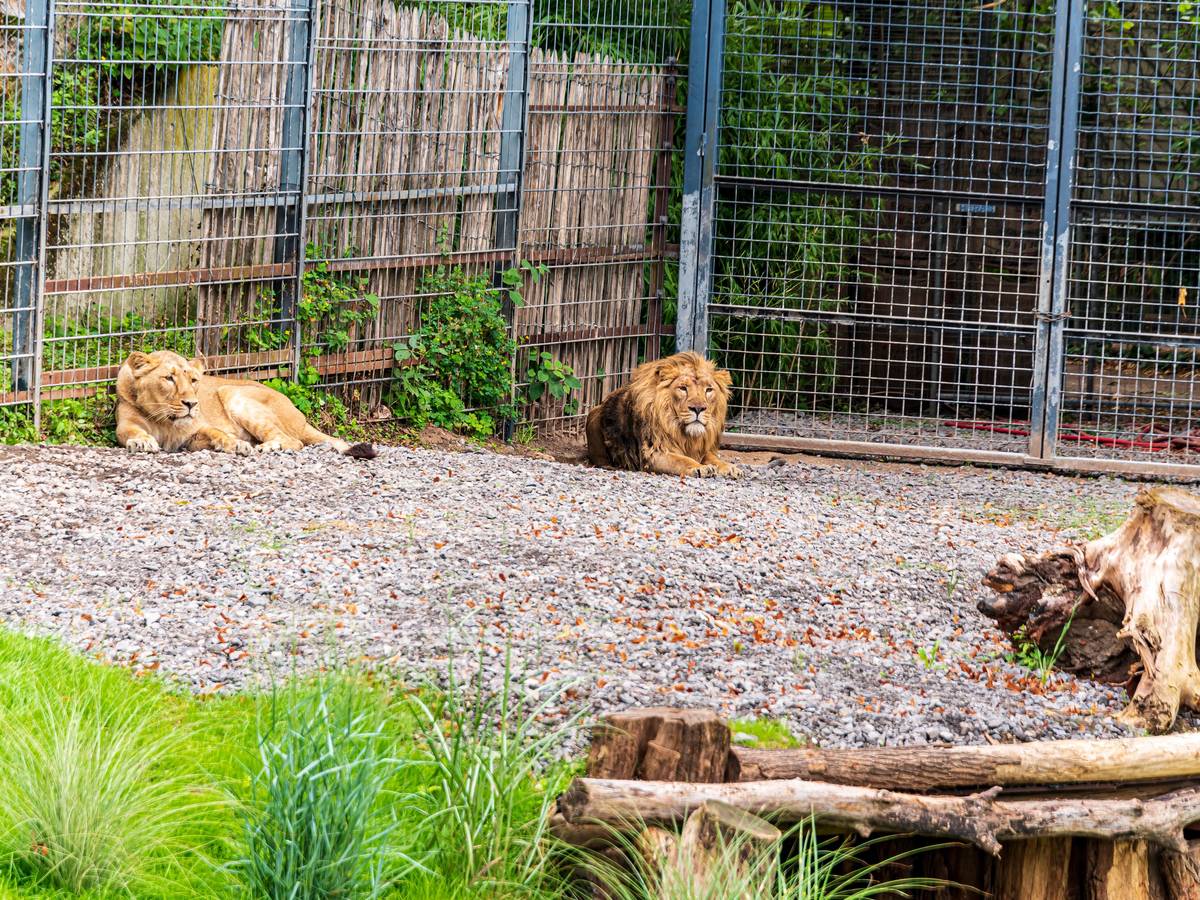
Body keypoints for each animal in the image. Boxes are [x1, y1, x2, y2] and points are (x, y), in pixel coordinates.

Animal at [115, 350, 376, 458]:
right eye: (169, 378)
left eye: (193, 380)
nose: (191, 403)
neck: (165, 419)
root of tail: (300, 416)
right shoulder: (126, 424)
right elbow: (133, 431)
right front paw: (142, 441)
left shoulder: (199, 426)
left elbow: (218, 432)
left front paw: (237, 445)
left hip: (233, 393)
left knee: (294, 441)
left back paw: (266, 447)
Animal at [586, 351, 739, 478]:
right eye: (683, 388)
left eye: (708, 390)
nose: (698, 408)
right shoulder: (653, 453)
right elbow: (681, 460)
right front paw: (700, 468)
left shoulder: (701, 448)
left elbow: (713, 458)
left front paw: (730, 467)